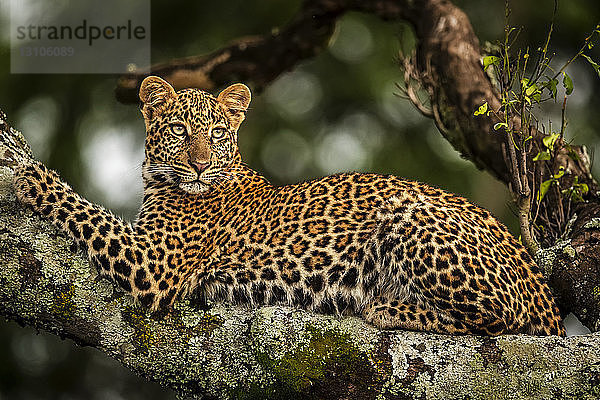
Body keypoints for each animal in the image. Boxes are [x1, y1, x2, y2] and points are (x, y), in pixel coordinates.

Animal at [4, 74, 564, 334]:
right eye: (181, 131)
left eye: (218, 133)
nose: (201, 166)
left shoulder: (155, 262)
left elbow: (81, 207)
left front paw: (23, 167)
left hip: (408, 212)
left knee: (499, 315)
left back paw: (385, 305)